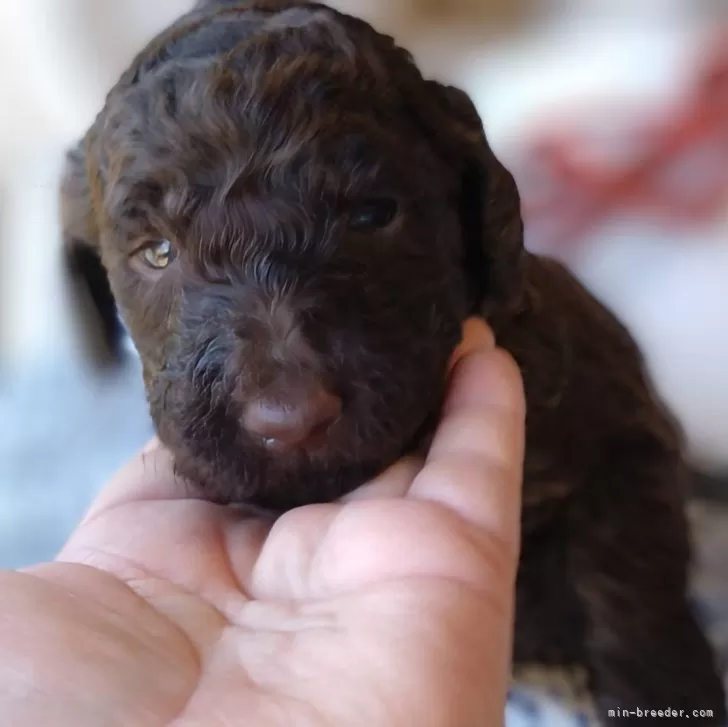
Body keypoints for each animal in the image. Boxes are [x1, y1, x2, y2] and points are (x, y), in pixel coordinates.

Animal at [61, 0, 728, 724]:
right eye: (157, 252)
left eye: (373, 215)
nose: (290, 419)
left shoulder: (621, 429)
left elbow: (627, 590)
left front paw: (666, 690)